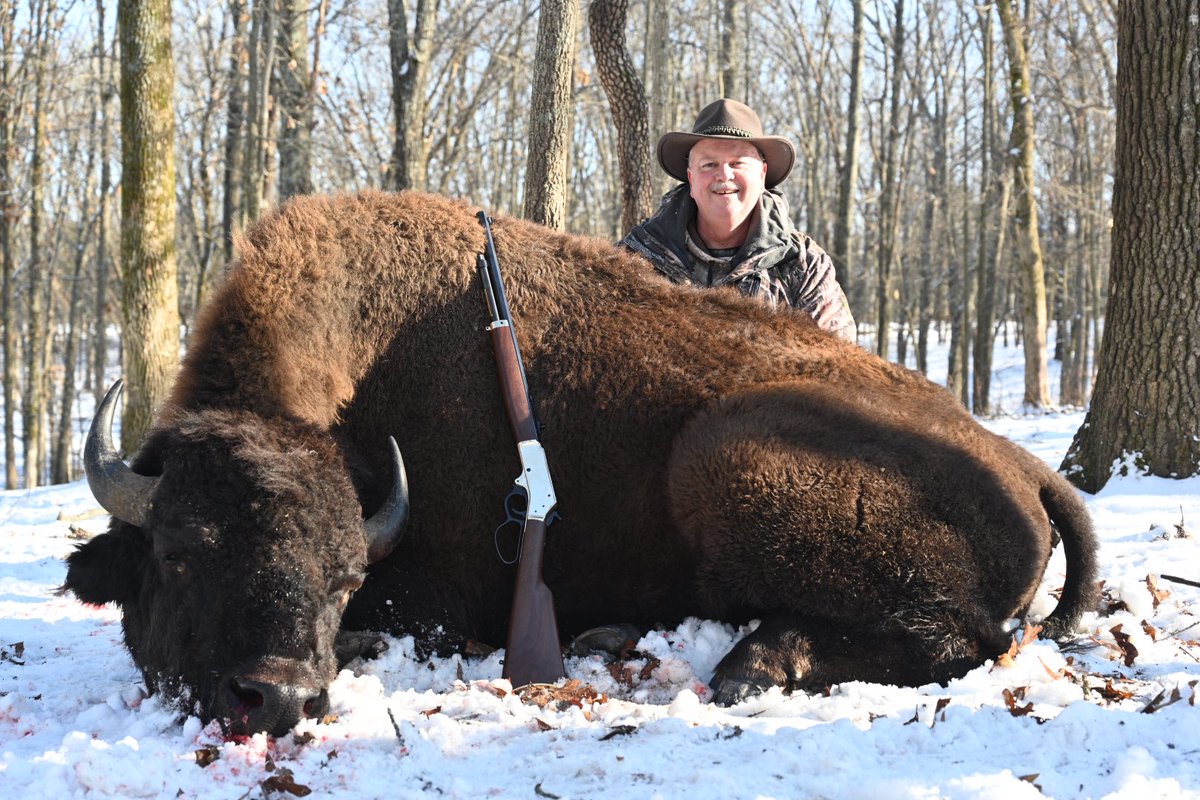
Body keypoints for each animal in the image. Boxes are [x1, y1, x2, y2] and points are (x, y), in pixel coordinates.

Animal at [63, 190, 1097, 736]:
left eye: (345, 575)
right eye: (180, 553)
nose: (277, 696)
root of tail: (1020, 462)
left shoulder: (433, 599)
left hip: (723, 452)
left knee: (964, 642)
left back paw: (749, 664)